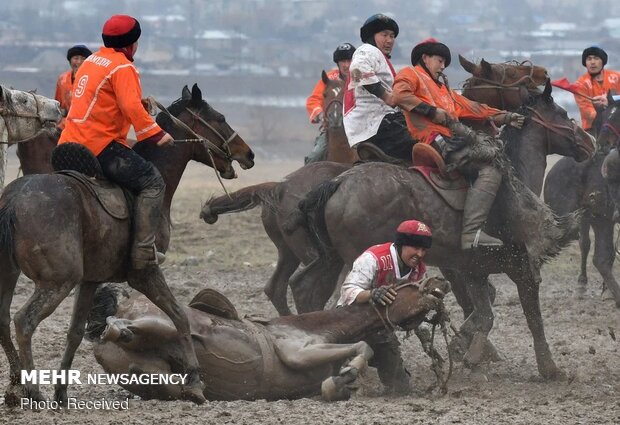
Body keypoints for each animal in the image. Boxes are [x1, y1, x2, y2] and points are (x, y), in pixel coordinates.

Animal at [0, 83, 254, 404]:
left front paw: (62, 392)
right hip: (57, 282)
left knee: (3, 320)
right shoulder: (145, 272)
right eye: (220, 118)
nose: (249, 154)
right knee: (24, 322)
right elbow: (180, 317)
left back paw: (15, 387)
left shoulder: (91, 280)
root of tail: (14, 198)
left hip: (12, 276)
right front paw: (195, 382)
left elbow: (74, 333)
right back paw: (32, 390)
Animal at [86, 274, 450, 400]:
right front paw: (346, 374)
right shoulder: (299, 352)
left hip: (153, 372)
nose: (440, 281)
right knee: (118, 326)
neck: (320, 325)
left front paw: (342, 382)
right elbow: (362, 346)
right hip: (163, 322)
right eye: (408, 284)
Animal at [288, 82, 592, 378]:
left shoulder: (473, 269)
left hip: (329, 259)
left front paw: (466, 352)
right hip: (355, 261)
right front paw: (550, 369)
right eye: (562, 113)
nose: (590, 141)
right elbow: (531, 318)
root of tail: (338, 182)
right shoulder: (520, 267)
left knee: (305, 289)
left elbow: (484, 313)